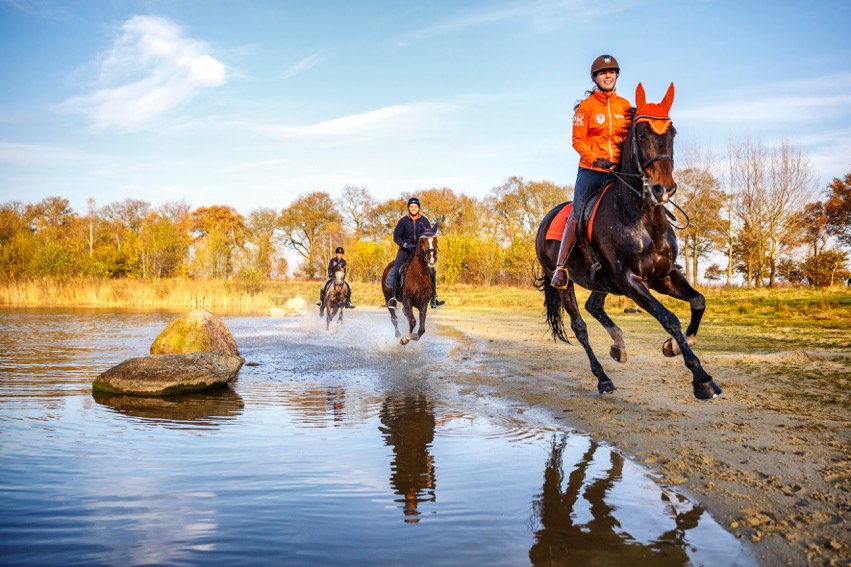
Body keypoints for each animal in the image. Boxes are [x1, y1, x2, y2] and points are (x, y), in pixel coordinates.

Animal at [536, 84, 724, 402]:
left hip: (602, 282)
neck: (643, 218)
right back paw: (603, 379)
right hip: (564, 281)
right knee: (580, 326)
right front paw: (702, 379)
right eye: (642, 133)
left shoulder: (663, 275)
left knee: (594, 306)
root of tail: (546, 220)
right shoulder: (630, 281)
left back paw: (619, 345)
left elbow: (698, 301)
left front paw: (675, 346)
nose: (663, 188)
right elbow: (669, 318)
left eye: (672, 132)